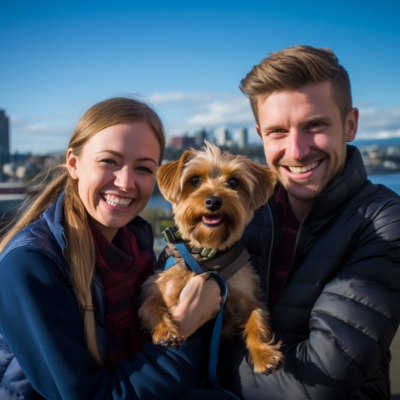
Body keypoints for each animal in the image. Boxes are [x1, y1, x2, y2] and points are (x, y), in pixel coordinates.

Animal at [139, 142, 282, 374]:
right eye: (195, 180)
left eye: (233, 182)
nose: (213, 200)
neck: (206, 255)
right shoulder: (157, 286)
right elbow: (151, 306)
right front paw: (165, 331)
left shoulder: (247, 294)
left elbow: (256, 320)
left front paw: (263, 354)